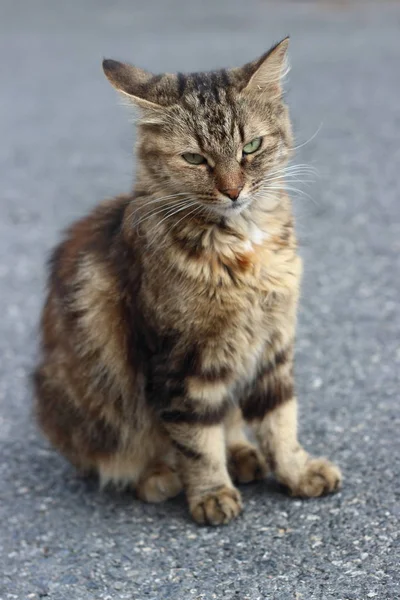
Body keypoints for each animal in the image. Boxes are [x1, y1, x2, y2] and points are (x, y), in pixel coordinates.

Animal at [32, 38, 342, 524]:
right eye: (195, 158)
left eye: (251, 146)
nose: (233, 191)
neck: (241, 249)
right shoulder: (181, 361)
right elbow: (196, 440)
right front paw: (211, 494)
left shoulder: (271, 347)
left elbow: (279, 422)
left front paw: (296, 471)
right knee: (114, 460)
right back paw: (159, 477)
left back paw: (243, 456)